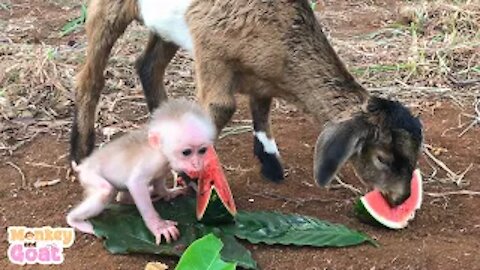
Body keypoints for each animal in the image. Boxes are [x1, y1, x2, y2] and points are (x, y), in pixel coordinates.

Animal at [66, 99, 217, 245]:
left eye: (202, 151)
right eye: (186, 152)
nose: (196, 164)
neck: (162, 153)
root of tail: (83, 165)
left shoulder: (163, 166)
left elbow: (159, 182)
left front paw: (168, 193)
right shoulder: (153, 161)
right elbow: (136, 184)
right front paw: (158, 226)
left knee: (121, 196)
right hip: (89, 175)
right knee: (106, 190)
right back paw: (74, 220)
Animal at [69, 0, 422, 206]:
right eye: (383, 158)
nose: (401, 198)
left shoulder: (262, 76)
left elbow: (262, 106)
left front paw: (270, 162)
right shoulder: (211, 52)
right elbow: (220, 110)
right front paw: (192, 178)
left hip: (167, 27)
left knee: (148, 66)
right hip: (110, 9)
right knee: (90, 77)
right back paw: (80, 152)